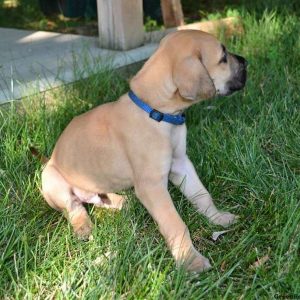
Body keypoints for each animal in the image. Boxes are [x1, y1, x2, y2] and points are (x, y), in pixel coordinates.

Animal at [42, 29, 248, 272]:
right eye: (223, 57)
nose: (245, 61)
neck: (156, 112)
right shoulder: (152, 186)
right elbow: (175, 223)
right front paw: (190, 260)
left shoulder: (181, 164)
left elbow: (201, 194)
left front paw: (218, 218)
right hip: (53, 180)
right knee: (73, 207)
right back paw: (84, 227)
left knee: (97, 199)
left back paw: (122, 202)